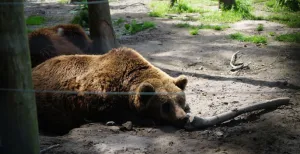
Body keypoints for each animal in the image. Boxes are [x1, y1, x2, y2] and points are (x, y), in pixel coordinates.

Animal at [32, 47, 190, 135]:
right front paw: (148, 119)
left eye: (180, 100)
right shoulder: (98, 98)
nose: (183, 118)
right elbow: (115, 112)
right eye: (165, 105)